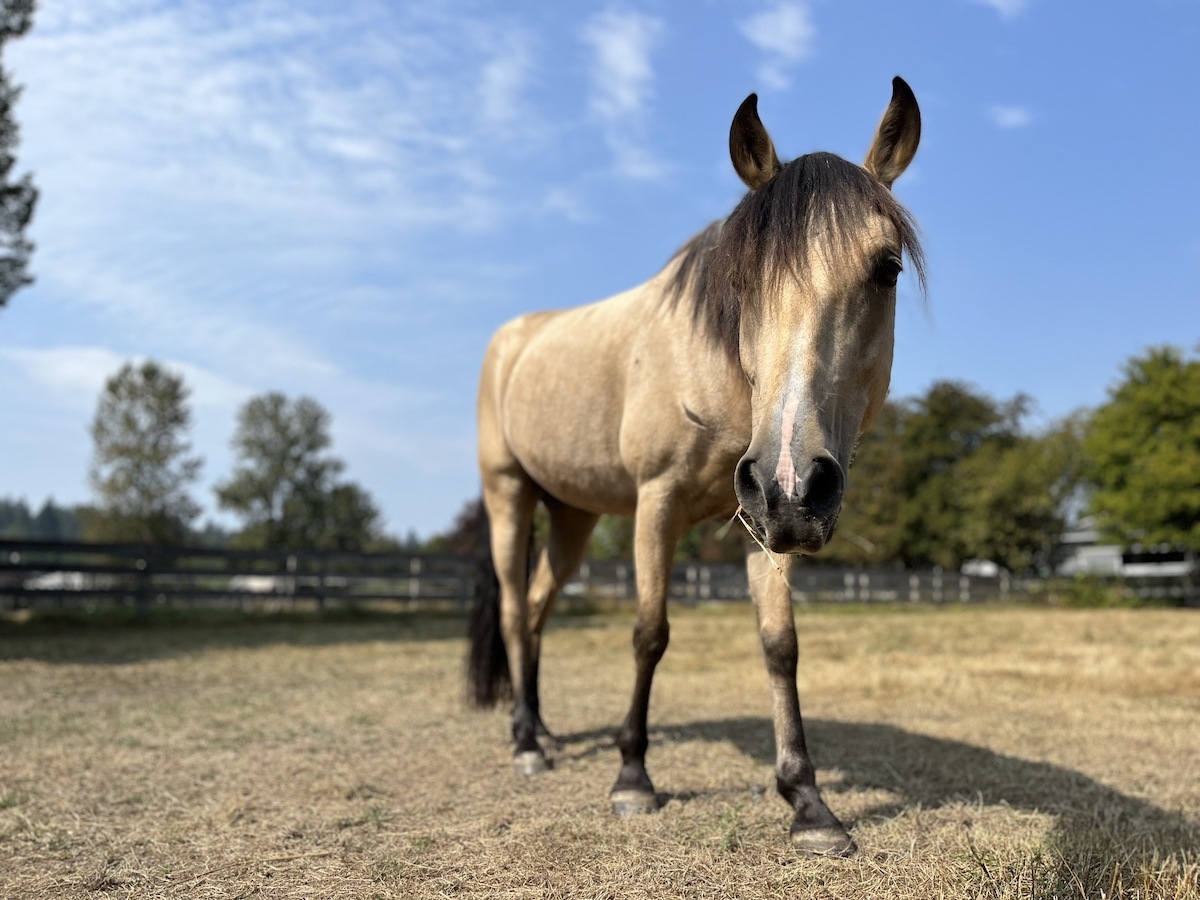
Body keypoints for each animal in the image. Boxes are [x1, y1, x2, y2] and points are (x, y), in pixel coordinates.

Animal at [463, 79, 921, 859]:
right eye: (741, 278)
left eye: (886, 269)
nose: (796, 481)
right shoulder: (660, 502)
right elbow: (650, 633)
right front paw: (632, 779)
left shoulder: (765, 521)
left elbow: (780, 646)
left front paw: (809, 803)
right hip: (508, 495)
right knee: (515, 608)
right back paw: (525, 744)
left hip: (574, 515)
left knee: (538, 605)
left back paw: (545, 730)